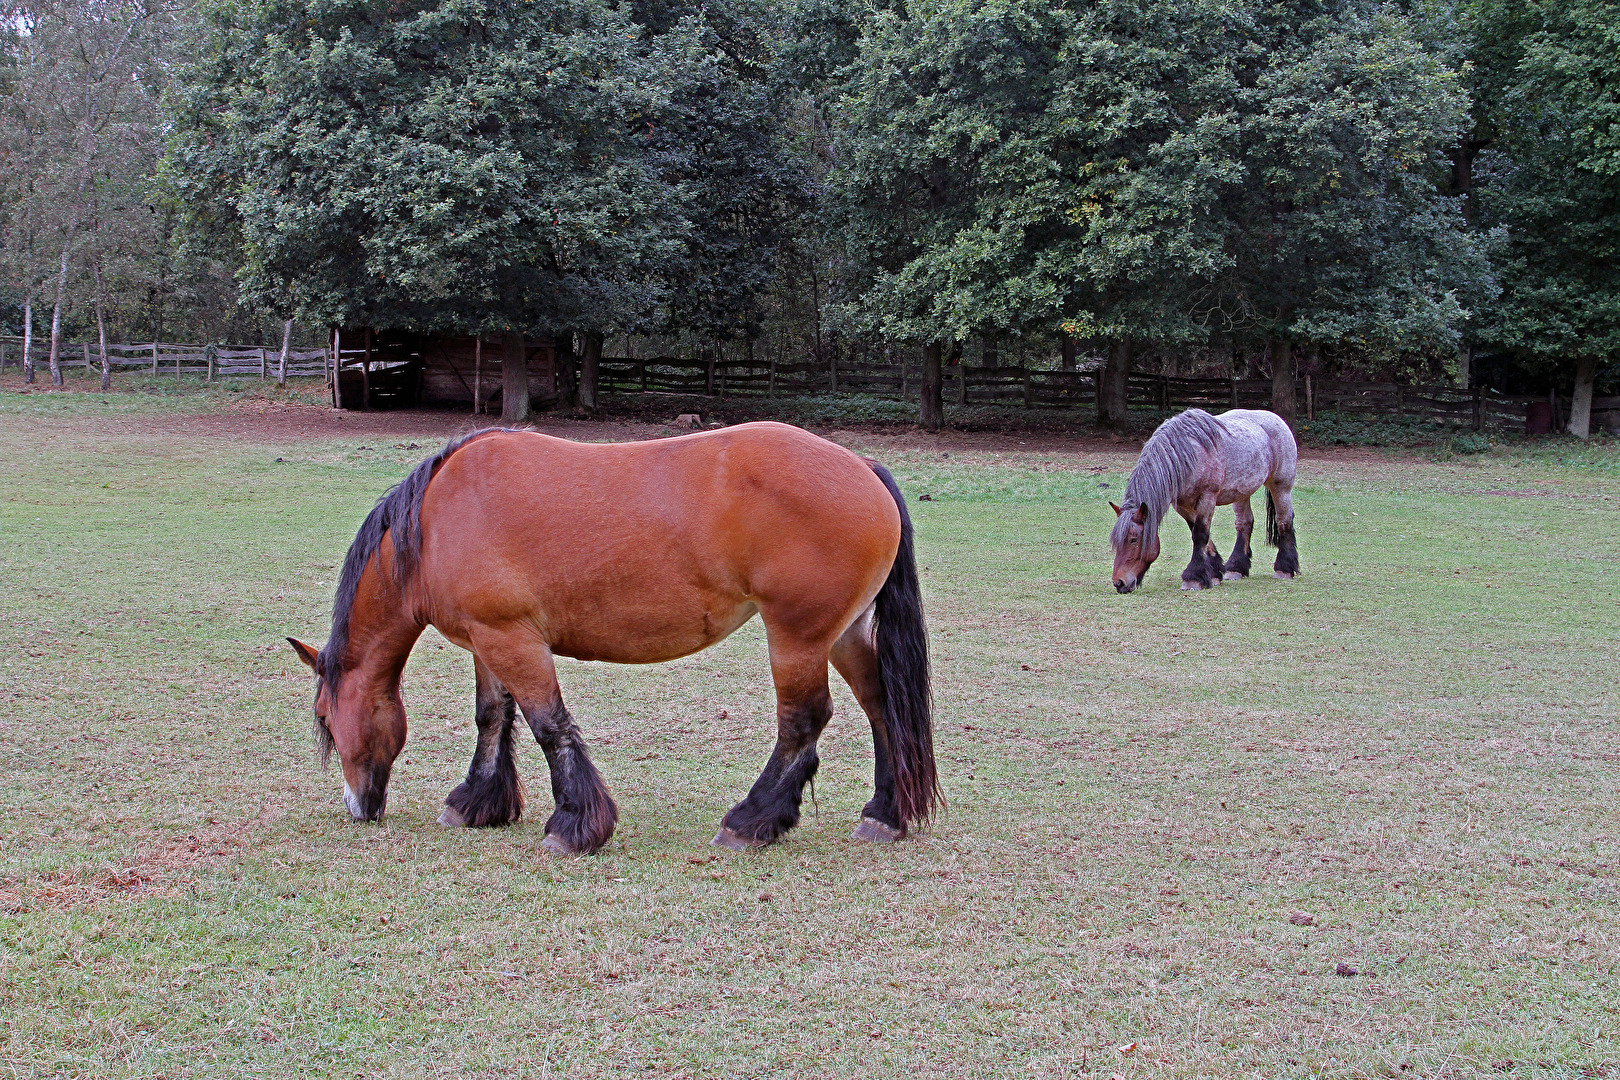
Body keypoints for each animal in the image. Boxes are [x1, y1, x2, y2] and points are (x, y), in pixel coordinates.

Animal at [291, 420, 939, 854]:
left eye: (325, 718)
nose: (356, 807)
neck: (434, 522)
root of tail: (864, 470)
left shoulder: (512, 640)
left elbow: (547, 724)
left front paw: (575, 824)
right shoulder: (489, 640)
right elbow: (492, 718)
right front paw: (477, 802)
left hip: (797, 637)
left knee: (803, 722)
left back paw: (752, 820)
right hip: (843, 635)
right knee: (881, 707)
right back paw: (884, 814)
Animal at [1108, 408, 1296, 592]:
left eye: (1133, 539)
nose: (1119, 583)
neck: (1185, 455)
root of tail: (1277, 419)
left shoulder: (1207, 497)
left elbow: (1200, 534)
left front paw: (1193, 578)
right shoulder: (1183, 505)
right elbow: (1199, 532)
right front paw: (1213, 573)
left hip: (1281, 486)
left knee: (1284, 520)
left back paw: (1284, 569)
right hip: (1242, 492)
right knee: (1244, 523)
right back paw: (1236, 568)